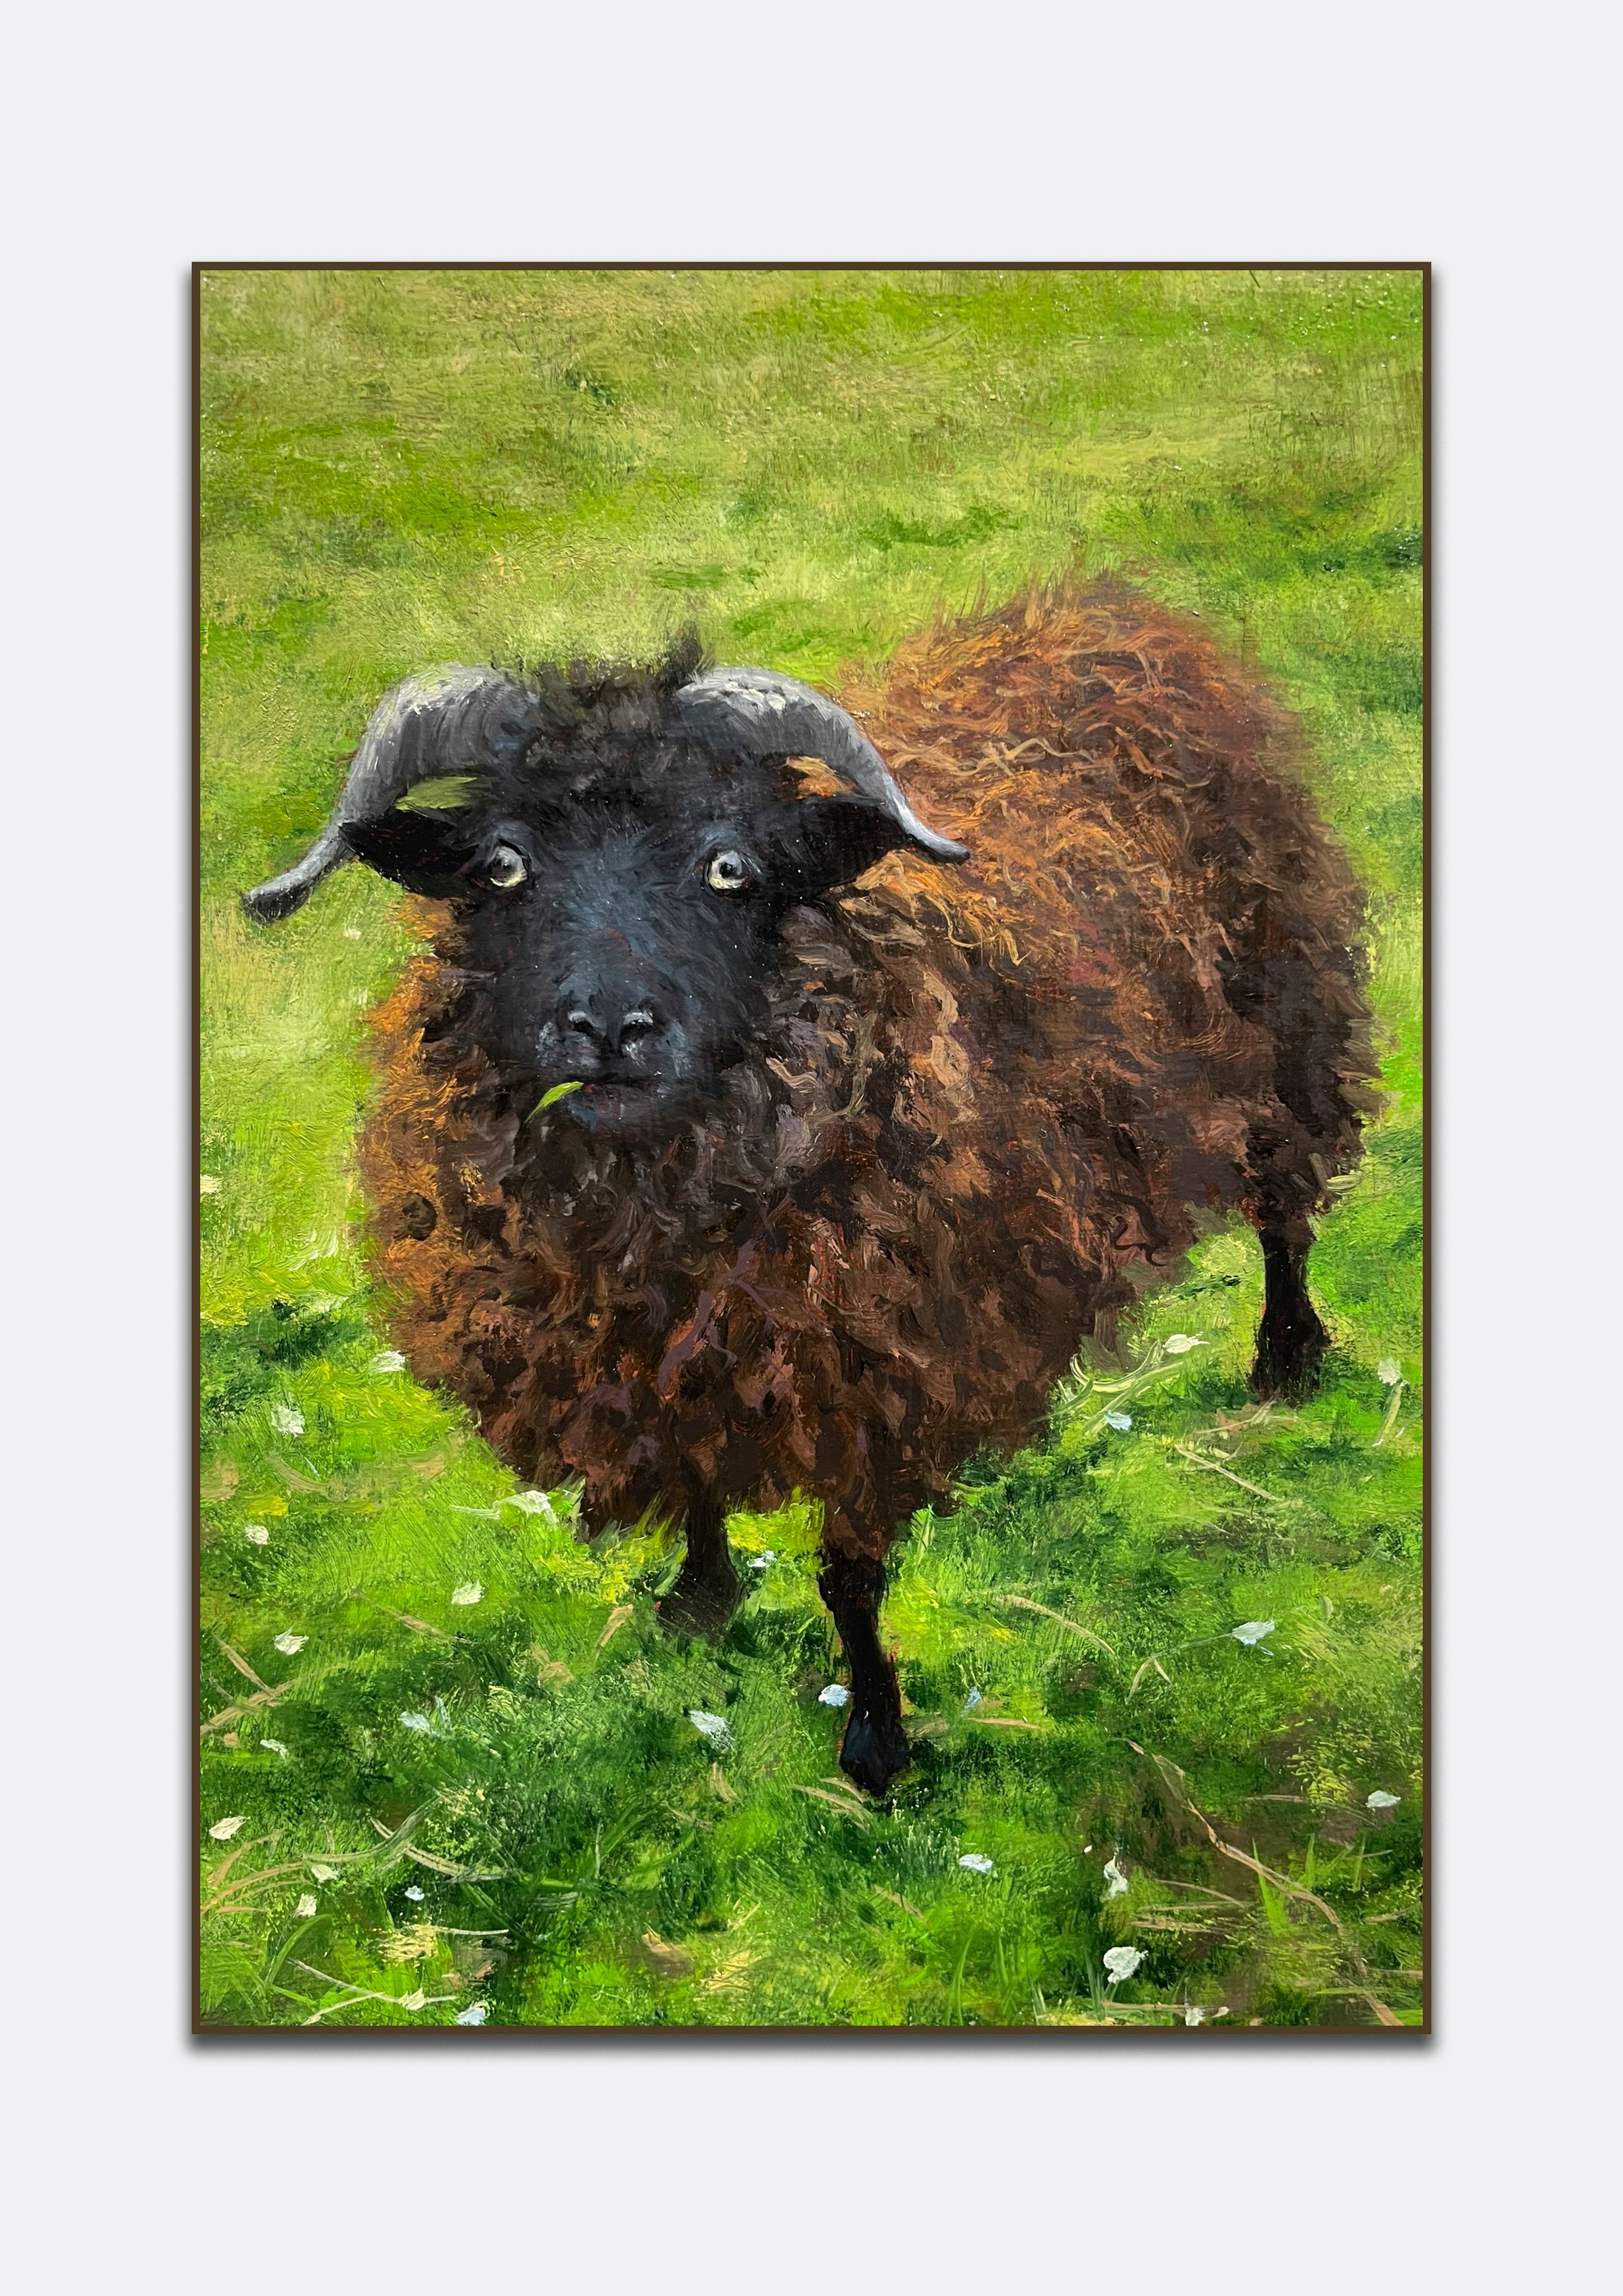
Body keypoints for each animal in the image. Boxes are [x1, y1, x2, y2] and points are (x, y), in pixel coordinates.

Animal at [243, 579, 1376, 1794]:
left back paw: (1287, 1361)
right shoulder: (661, 1359)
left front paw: (876, 1741)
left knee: (1285, 1209)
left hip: (1289, 1017)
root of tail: (1106, 609)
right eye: (501, 864)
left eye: (729, 866)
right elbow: (690, 1476)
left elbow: (849, 1575)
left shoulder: (878, 1371)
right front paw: (698, 1600)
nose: (610, 1028)